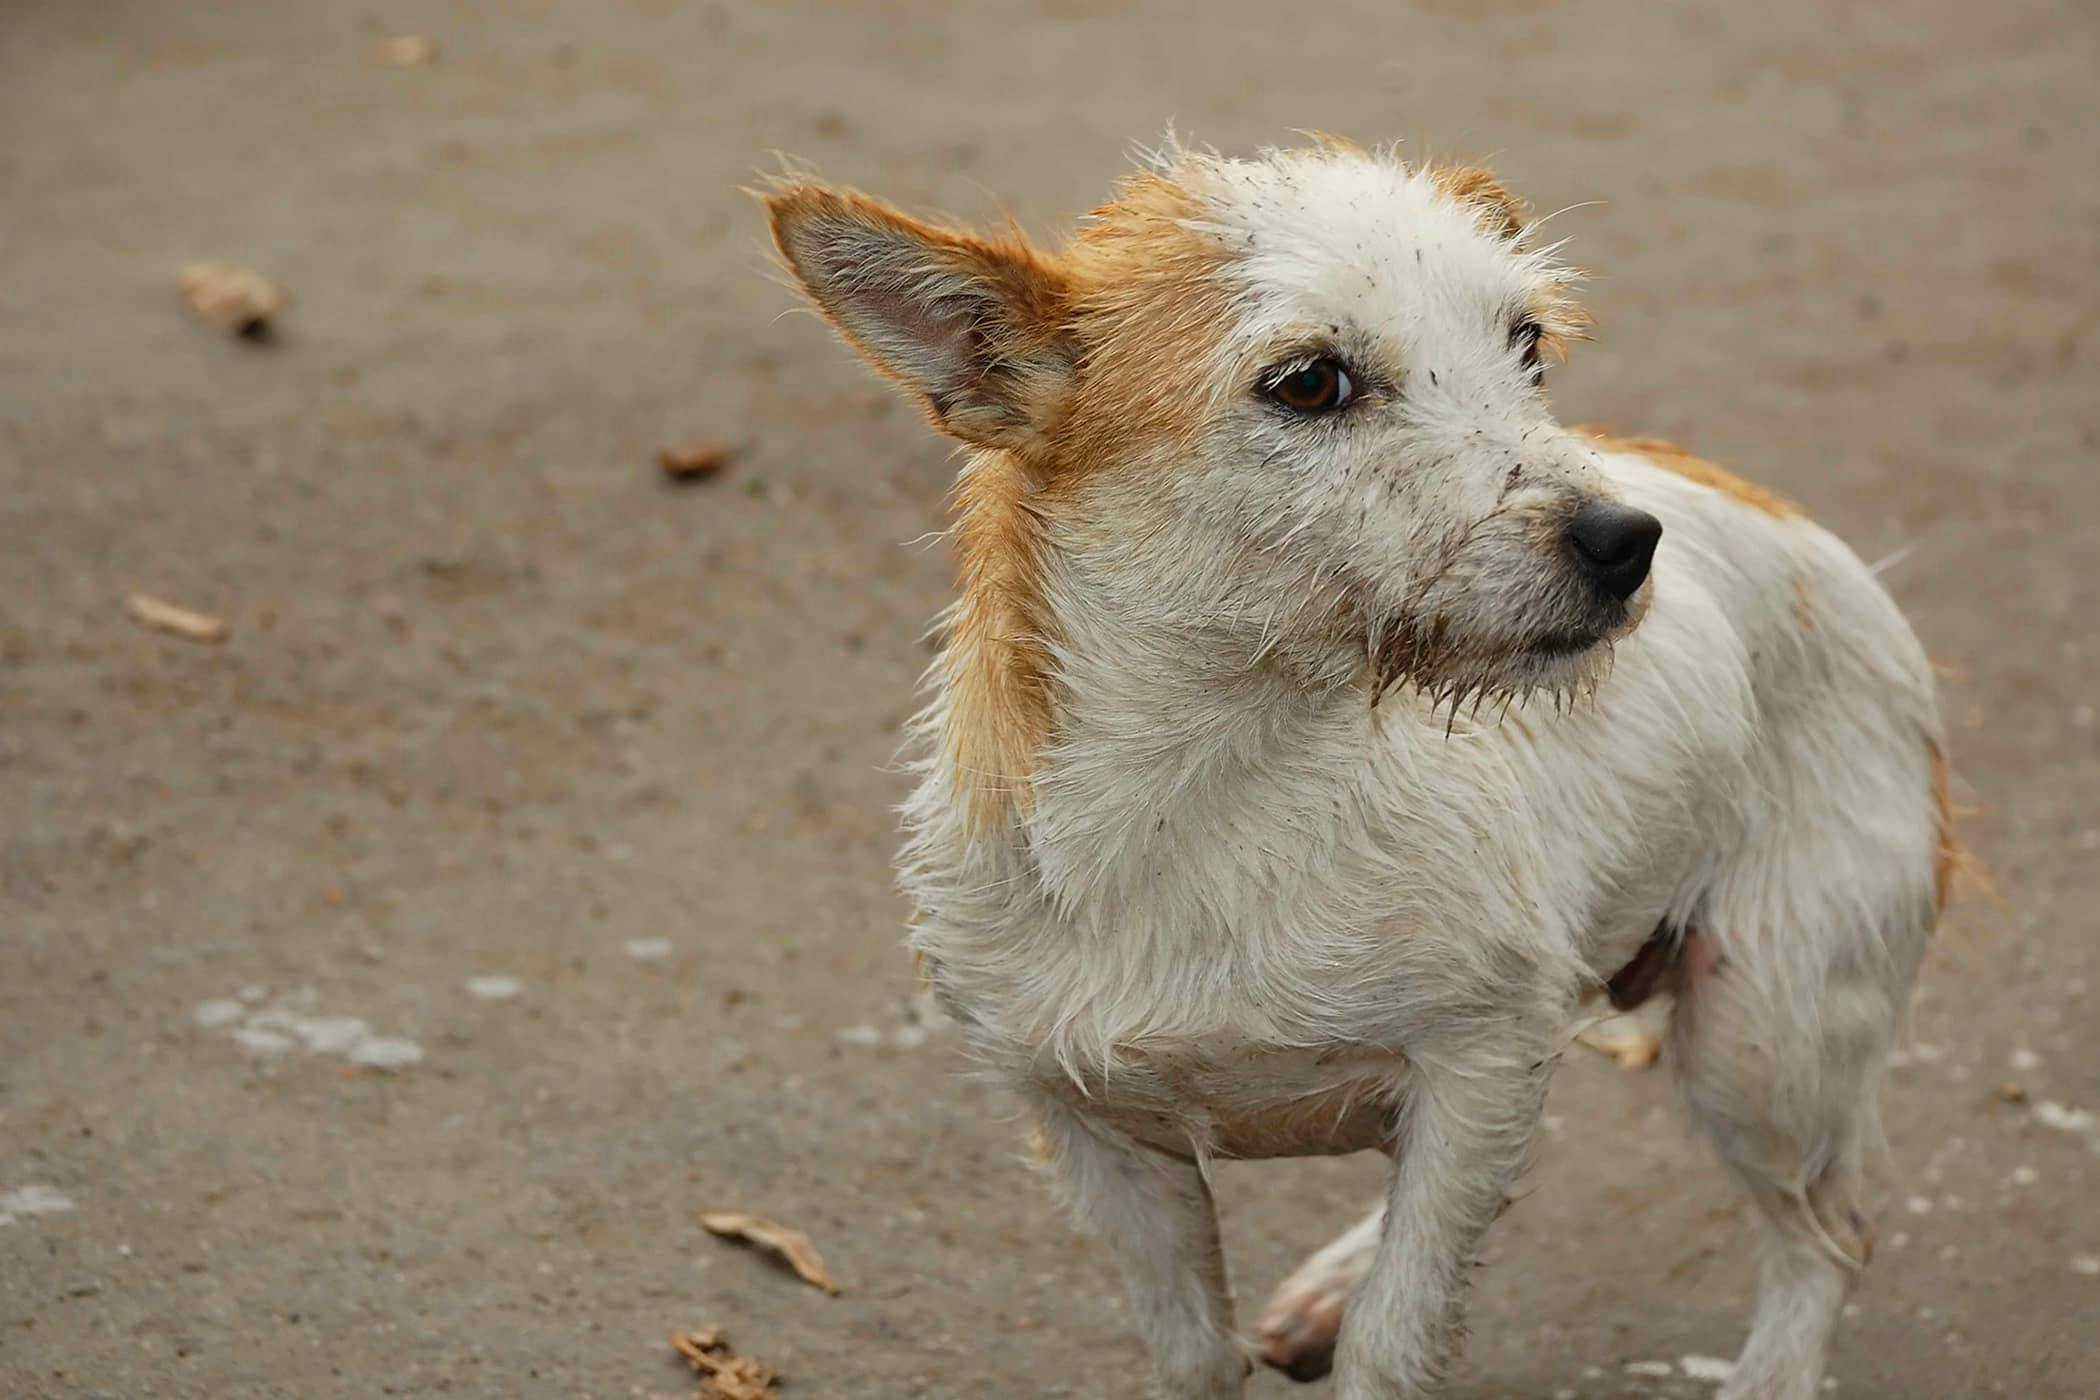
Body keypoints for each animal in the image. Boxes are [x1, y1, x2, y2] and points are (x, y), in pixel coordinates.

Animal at [760, 134, 1948, 1400]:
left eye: (1527, 344)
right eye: (1310, 383)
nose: (1627, 542)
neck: (1212, 792)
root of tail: (1777, 511)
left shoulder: (1482, 1056)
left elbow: (1399, 1334)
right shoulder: (1095, 1132)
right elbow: (1194, 1346)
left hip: (1763, 1038)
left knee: (1829, 1235)